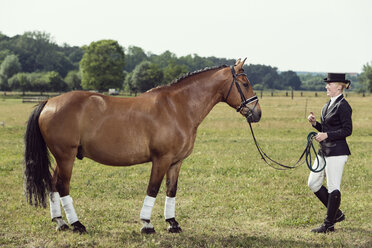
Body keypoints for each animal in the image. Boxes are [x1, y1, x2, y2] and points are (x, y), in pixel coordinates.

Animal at [24, 59, 262, 233]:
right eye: (245, 83)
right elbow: (153, 188)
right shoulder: (161, 159)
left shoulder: (176, 162)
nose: (257, 113)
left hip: (62, 158)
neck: (178, 107)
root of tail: (48, 102)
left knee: (53, 183)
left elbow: (171, 190)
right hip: (66, 156)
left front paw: (172, 223)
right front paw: (147, 224)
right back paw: (76, 224)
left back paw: (60, 222)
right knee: (62, 185)